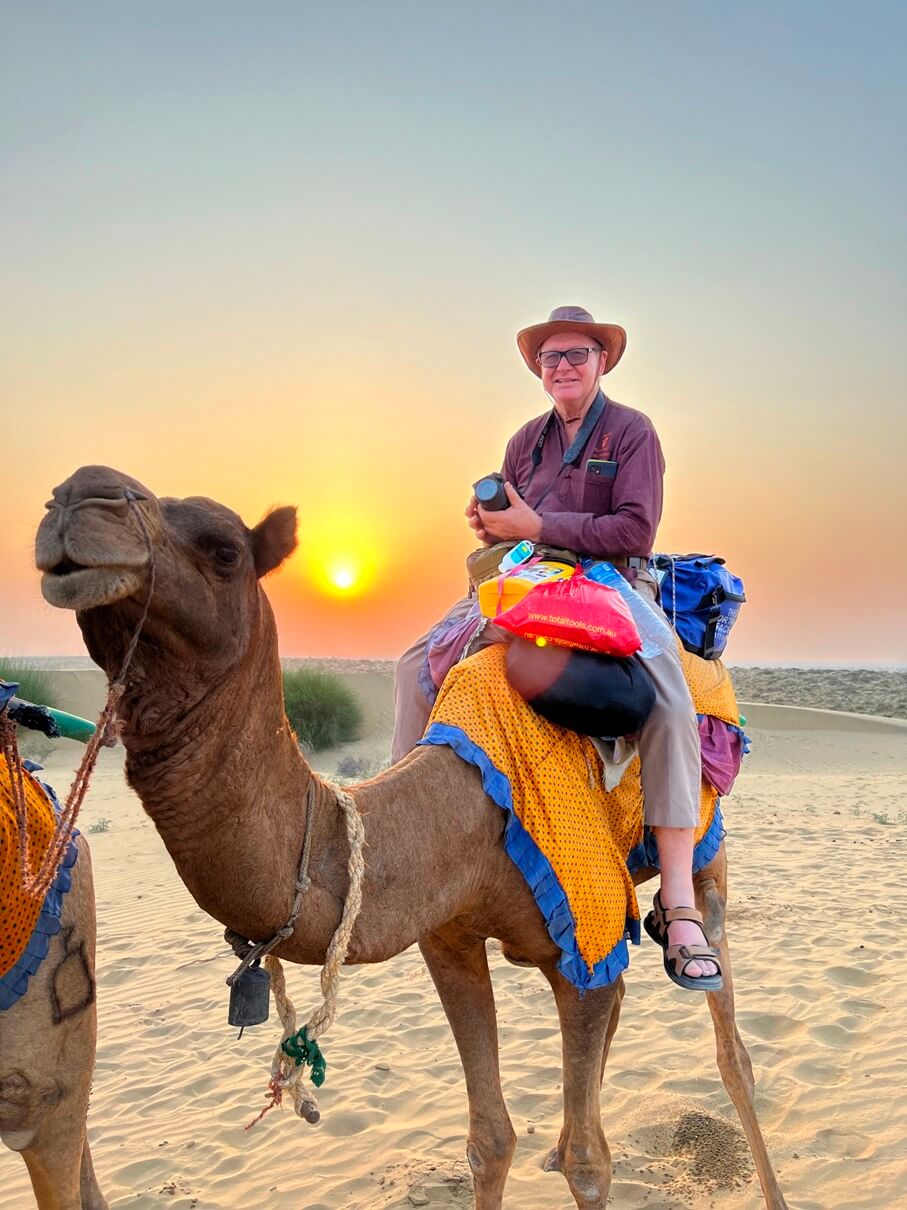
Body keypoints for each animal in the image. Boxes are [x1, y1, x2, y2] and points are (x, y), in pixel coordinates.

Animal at [35, 462, 788, 1210]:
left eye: (224, 549)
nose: (76, 496)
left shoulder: (584, 928)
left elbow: (590, 1164)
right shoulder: (449, 942)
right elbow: (489, 1140)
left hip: (707, 848)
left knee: (730, 1047)